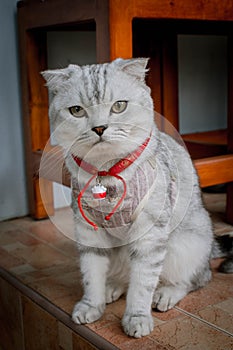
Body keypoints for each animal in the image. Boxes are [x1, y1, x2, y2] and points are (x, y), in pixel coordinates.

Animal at [41, 58, 231, 340]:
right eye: (76, 111)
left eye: (119, 106)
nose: (99, 128)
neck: (106, 173)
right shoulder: (88, 231)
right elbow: (91, 273)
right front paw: (91, 305)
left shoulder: (149, 235)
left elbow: (142, 283)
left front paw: (137, 318)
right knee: (123, 275)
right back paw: (112, 287)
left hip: (183, 247)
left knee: (194, 279)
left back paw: (166, 294)